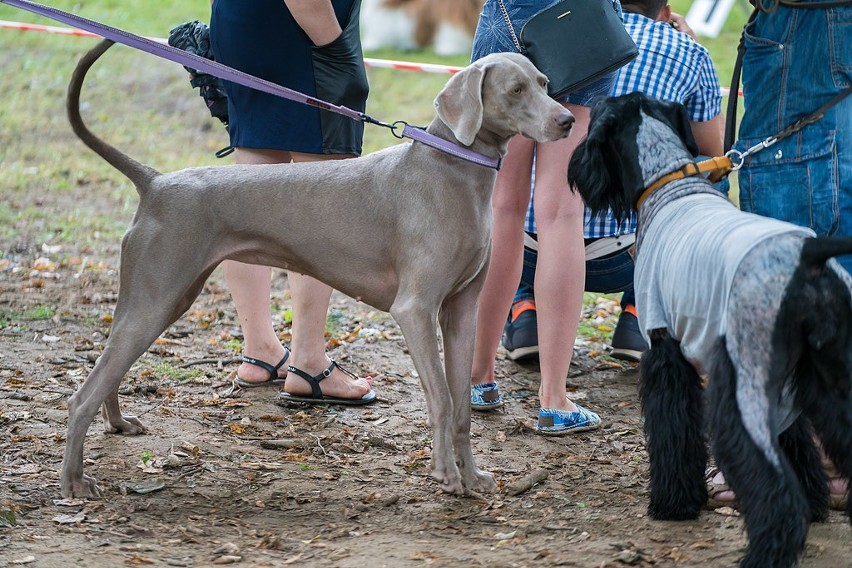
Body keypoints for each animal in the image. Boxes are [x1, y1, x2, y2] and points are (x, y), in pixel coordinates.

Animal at [63, 40, 576, 500]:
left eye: (545, 84)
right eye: (514, 90)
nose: (568, 120)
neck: (451, 166)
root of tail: (154, 182)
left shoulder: (461, 309)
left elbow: (463, 406)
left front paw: (473, 478)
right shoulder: (414, 309)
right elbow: (442, 400)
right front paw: (447, 477)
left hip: (160, 298)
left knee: (106, 367)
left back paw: (117, 423)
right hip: (157, 297)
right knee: (81, 394)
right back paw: (73, 482)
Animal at [564, 91, 852, 564]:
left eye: (594, 124)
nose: (574, 166)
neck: (667, 181)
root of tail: (807, 258)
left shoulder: (666, 354)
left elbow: (674, 431)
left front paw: (674, 505)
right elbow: (797, 441)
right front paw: (816, 501)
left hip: (744, 390)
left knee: (772, 485)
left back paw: (766, 551)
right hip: (826, 378)